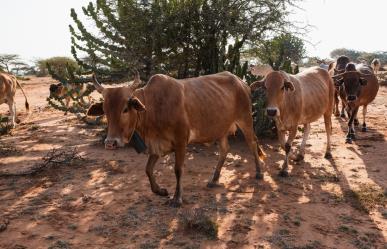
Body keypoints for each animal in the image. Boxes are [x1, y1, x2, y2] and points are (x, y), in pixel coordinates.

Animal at [87, 71, 266, 206]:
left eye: (125, 109)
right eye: (105, 110)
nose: (111, 143)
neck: (153, 107)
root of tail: (242, 82)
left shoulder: (181, 142)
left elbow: (178, 170)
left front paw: (177, 198)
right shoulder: (157, 145)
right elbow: (148, 169)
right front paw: (160, 191)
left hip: (245, 120)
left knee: (252, 143)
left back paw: (259, 173)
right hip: (220, 129)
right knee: (225, 149)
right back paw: (214, 179)